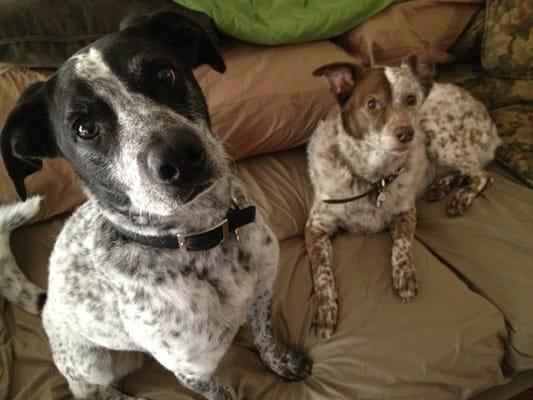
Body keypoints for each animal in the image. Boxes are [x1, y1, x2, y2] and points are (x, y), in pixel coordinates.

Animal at [1, 10, 312, 398]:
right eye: (85, 128)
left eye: (165, 74)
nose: (179, 156)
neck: (205, 238)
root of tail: (47, 307)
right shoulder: (194, 371)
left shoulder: (264, 293)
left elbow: (266, 335)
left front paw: (281, 362)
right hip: (91, 361)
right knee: (90, 389)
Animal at [304, 50, 498, 338]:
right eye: (372, 103)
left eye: (410, 99)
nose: (406, 133)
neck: (372, 179)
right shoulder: (316, 227)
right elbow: (322, 272)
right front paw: (325, 309)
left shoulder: (406, 213)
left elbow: (402, 245)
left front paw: (404, 275)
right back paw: (441, 187)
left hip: (435, 134)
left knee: (482, 174)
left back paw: (460, 197)